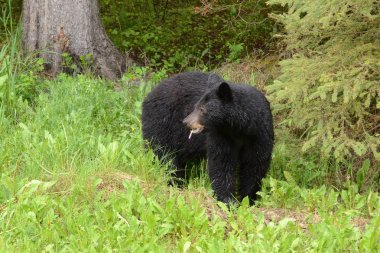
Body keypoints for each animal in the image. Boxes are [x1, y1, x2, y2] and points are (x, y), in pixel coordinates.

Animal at [142, 71, 274, 206]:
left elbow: (254, 164)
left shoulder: (259, 135)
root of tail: (150, 94)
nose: (185, 122)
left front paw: (248, 199)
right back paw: (175, 182)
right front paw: (228, 200)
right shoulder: (221, 136)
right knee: (165, 156)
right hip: (162, 124)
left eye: (202, 109)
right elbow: (221, 162)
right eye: (195, 106)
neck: (238, 129)